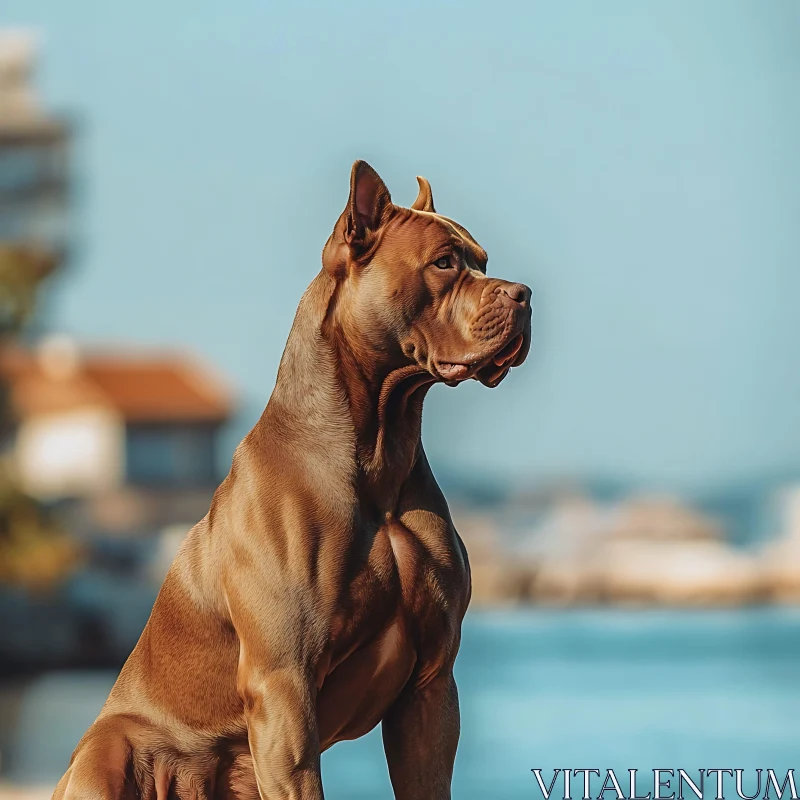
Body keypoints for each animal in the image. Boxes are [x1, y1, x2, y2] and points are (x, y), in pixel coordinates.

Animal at [54, 159, 532, 796]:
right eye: (444, 262)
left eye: (482, 258)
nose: (524, 295)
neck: (378, 449)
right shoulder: (285, 684)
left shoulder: (431, 685)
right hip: (105, 752)